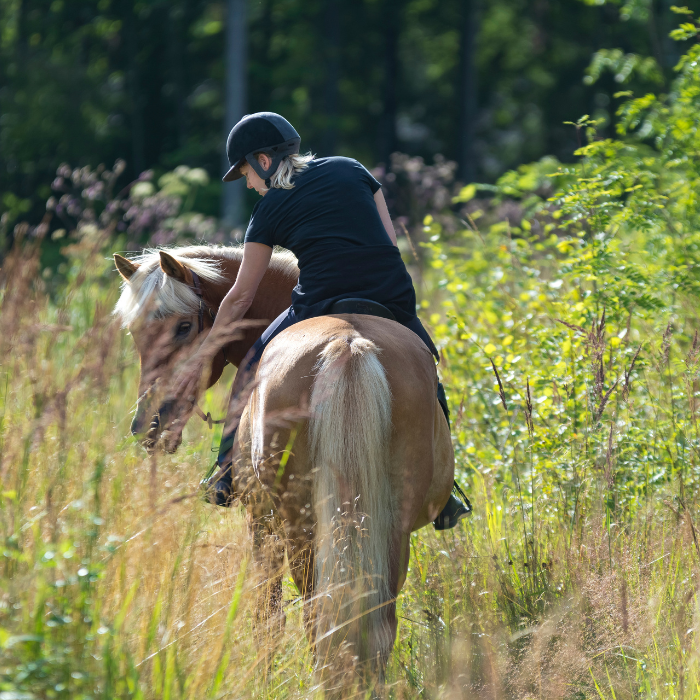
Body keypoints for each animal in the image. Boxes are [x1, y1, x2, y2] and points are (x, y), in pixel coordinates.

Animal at [113, 244, 455, 692]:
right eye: (135, 333)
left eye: (184, 327)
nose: (148, 424)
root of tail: (347, 345)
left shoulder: (260, 522)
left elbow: (267, 617)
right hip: (387, 526)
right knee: (375, 621)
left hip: (300, 528)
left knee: (316, 615)